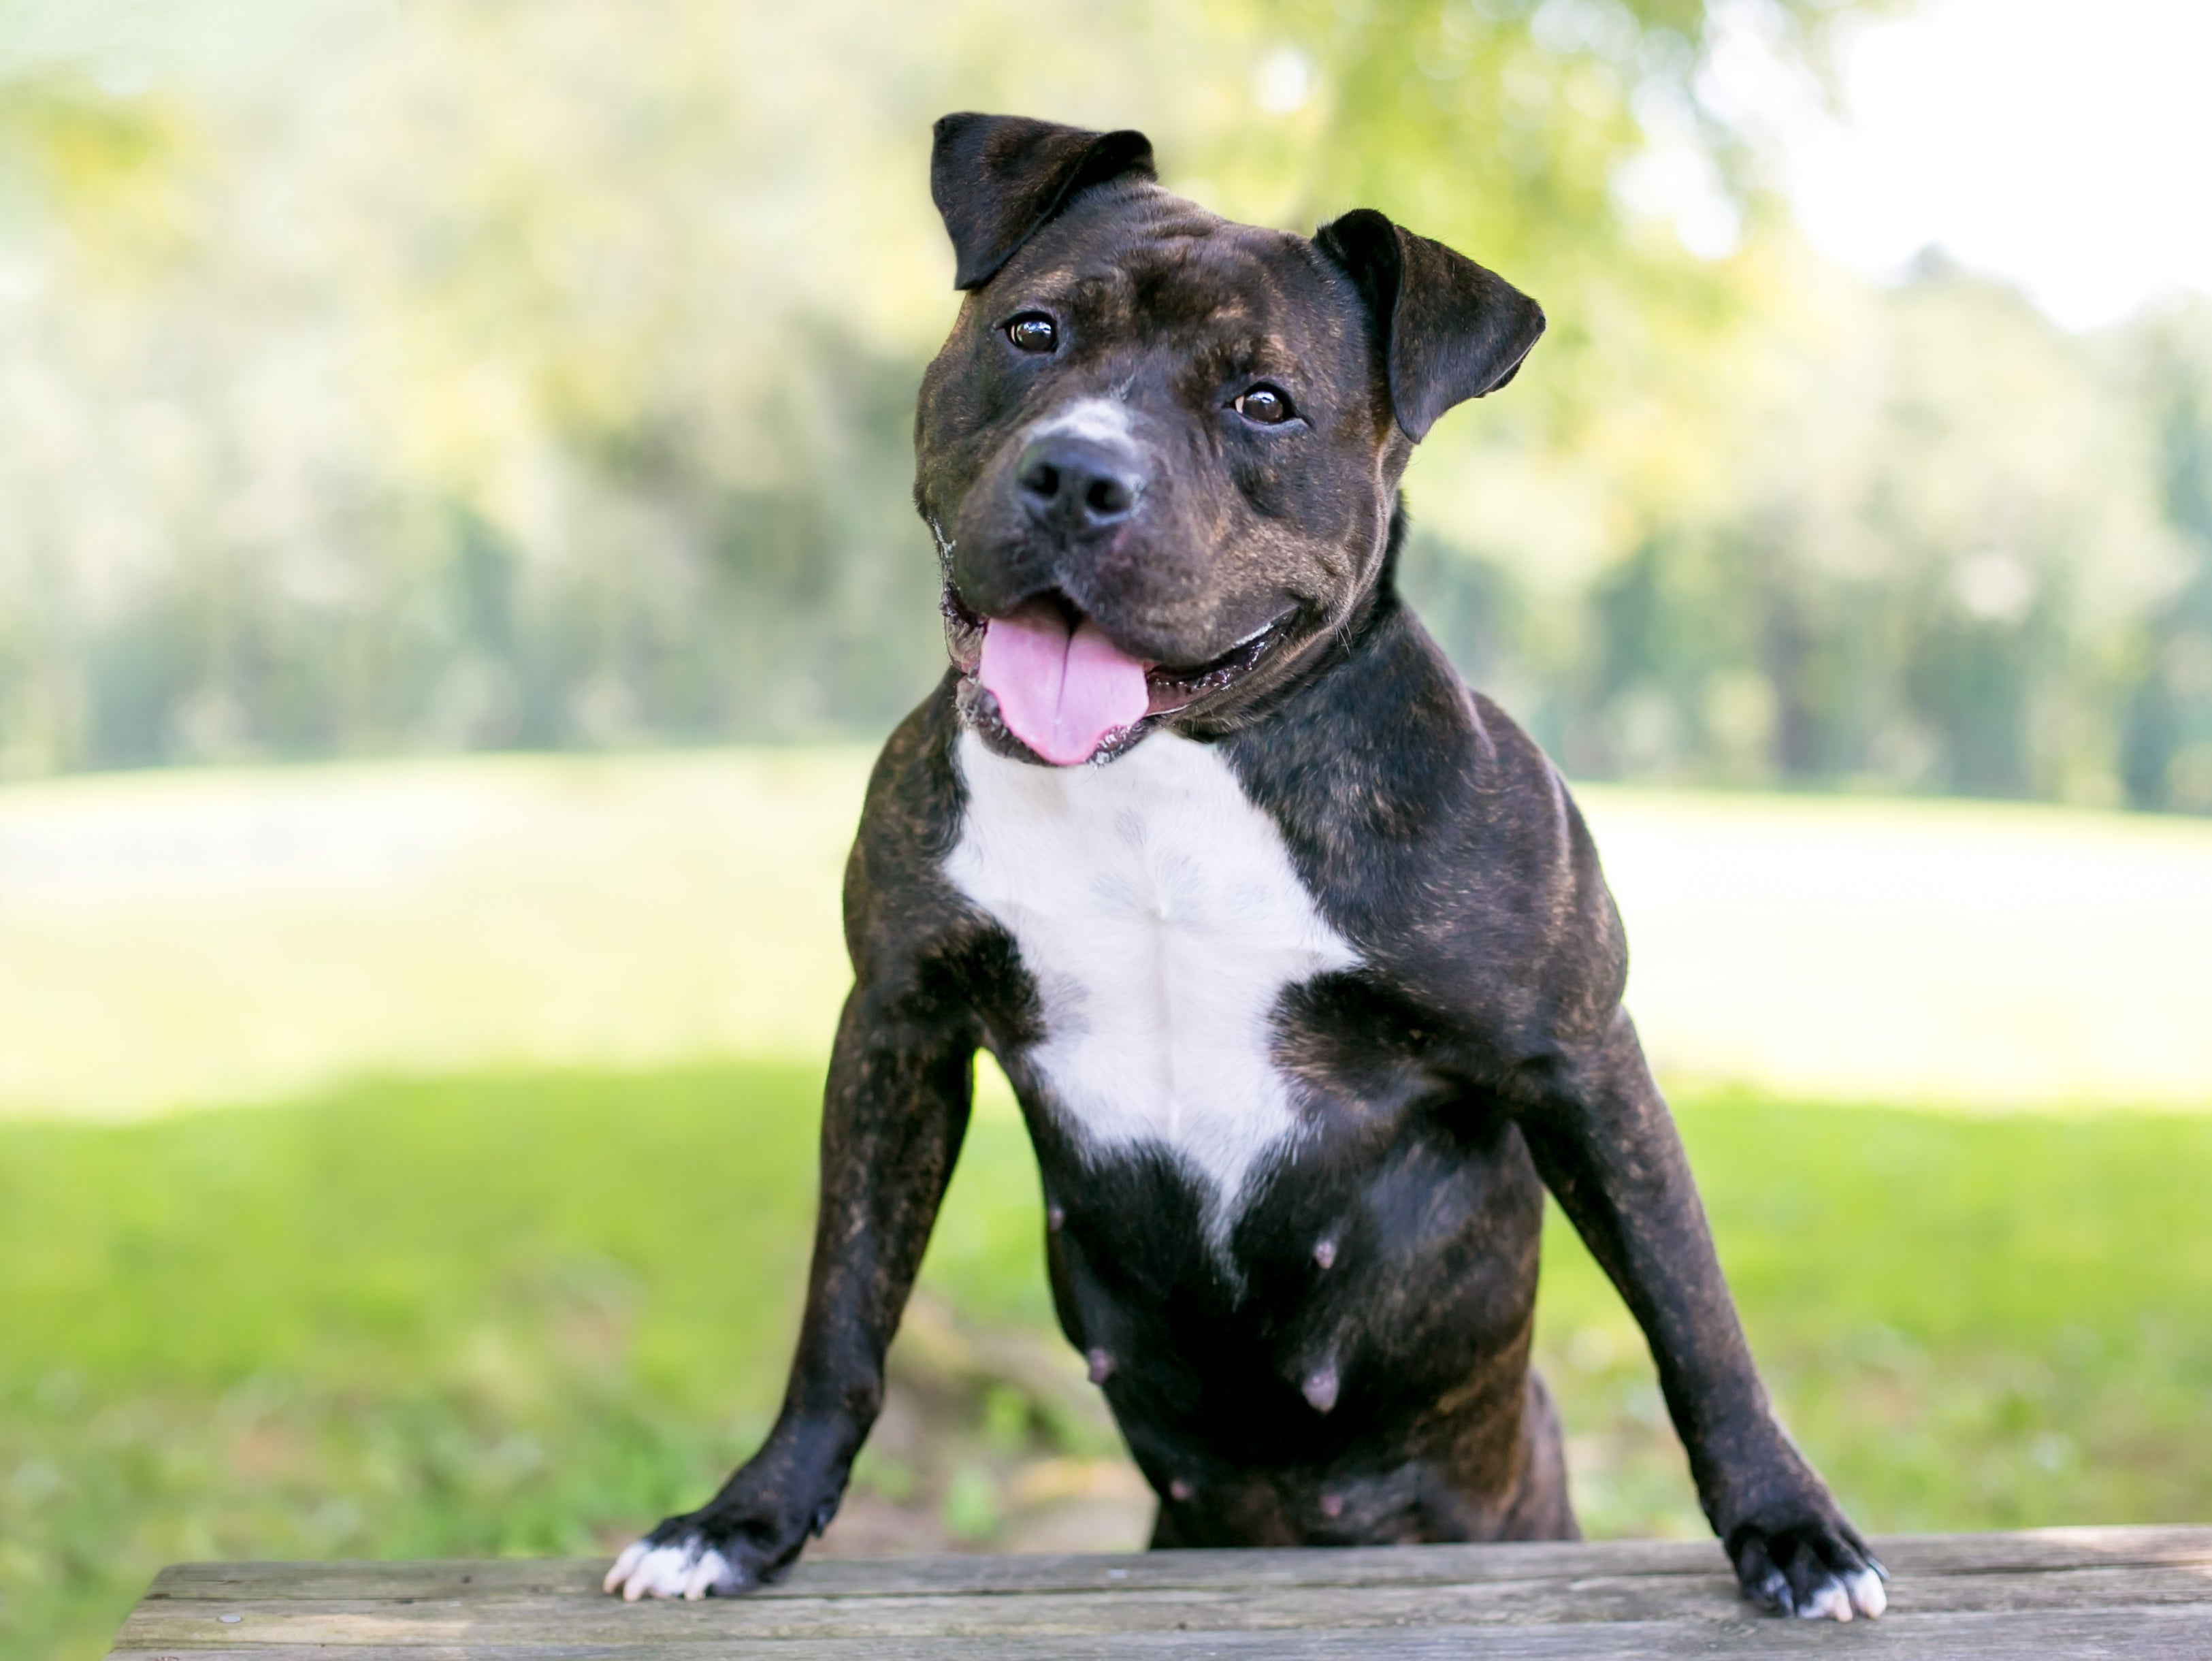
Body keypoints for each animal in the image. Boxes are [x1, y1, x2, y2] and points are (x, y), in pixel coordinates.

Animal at [606, 114, 1885, 1628]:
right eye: (1034, 330)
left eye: (1265, 403)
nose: (1078, 475)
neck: (1164, 772)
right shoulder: (899, 1027)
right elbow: (841, 1313)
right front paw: (744, 1521)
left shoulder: (1577, 1056)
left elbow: (1694, 1316)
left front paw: (1789, 1528)